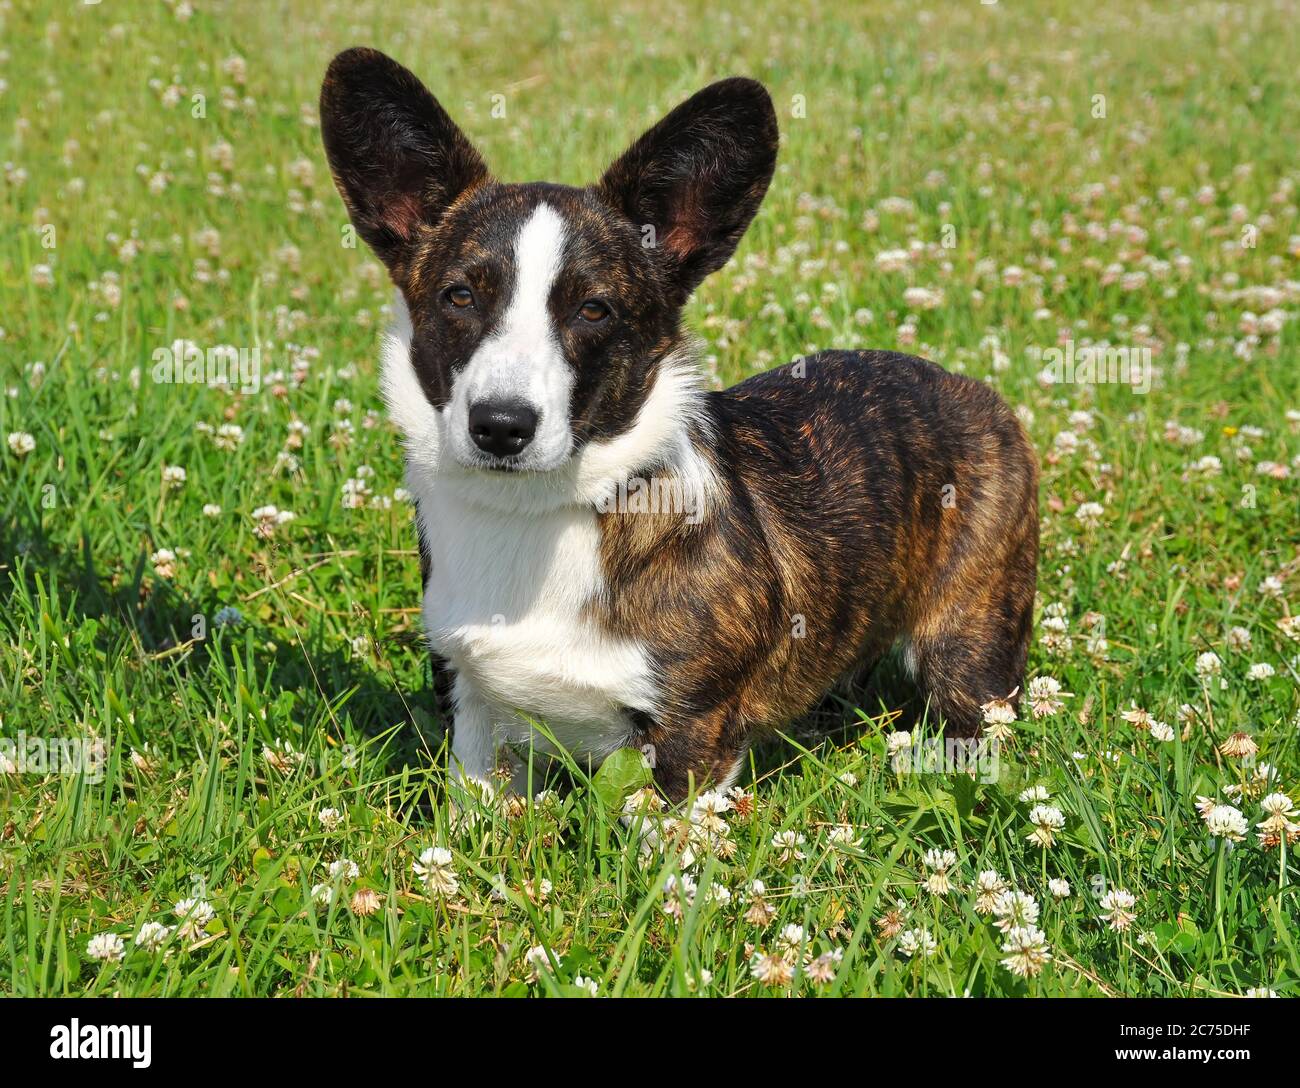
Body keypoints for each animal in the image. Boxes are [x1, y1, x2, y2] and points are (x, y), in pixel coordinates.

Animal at [319, 48, 1040, 795]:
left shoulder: (692, 732)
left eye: (595, 310)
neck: (532, 513)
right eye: (459, 296)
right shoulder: (475, 718)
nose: (501, 425)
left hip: (968, 648)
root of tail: (966, 386)